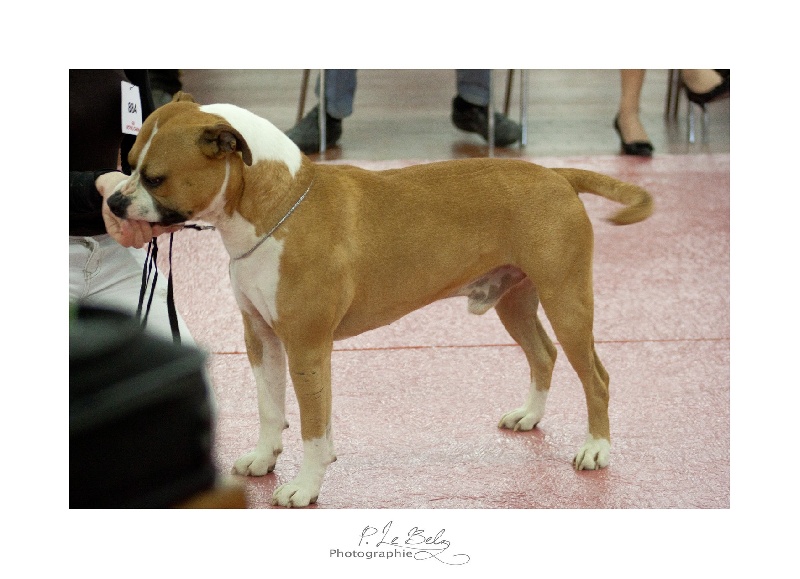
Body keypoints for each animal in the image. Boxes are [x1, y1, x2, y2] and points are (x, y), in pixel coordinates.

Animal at [106, 92, 652, 508]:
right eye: (128, 166)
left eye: (155, 177)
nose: (112, 201)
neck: (274, 203)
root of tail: (558, 175)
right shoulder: (261, 337)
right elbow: (269, 407)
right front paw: (264, 459)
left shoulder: (307, 347)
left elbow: (312, 425)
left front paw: (304, 486)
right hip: (514, 301)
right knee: (544, 354)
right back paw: (529, 416)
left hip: (567, 301)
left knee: (596, 376)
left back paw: (596, 449)